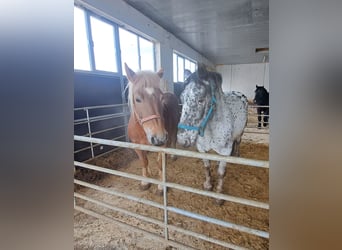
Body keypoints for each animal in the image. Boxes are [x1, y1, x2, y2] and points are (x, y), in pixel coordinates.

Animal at [124, 63, 180, 194]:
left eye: (161, 98)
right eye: (137, 99)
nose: (159, 137)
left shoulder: (163, 146)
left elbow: (160, 164)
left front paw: (161, 186)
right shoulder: (137, 145)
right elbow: (144, 161)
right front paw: (145, 181)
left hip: (174, 128)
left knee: (173, 139)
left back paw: (173, 155)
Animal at [178, 63, 247, 204]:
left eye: (200, 100)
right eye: (181, 98)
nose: (182, 139)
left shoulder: (225, 152)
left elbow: (221, 173)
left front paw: (219, 195)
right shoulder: (202, 150)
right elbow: (206, 167)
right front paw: (208, 185)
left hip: (240, 134)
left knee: (238, 142)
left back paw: (236, 155)